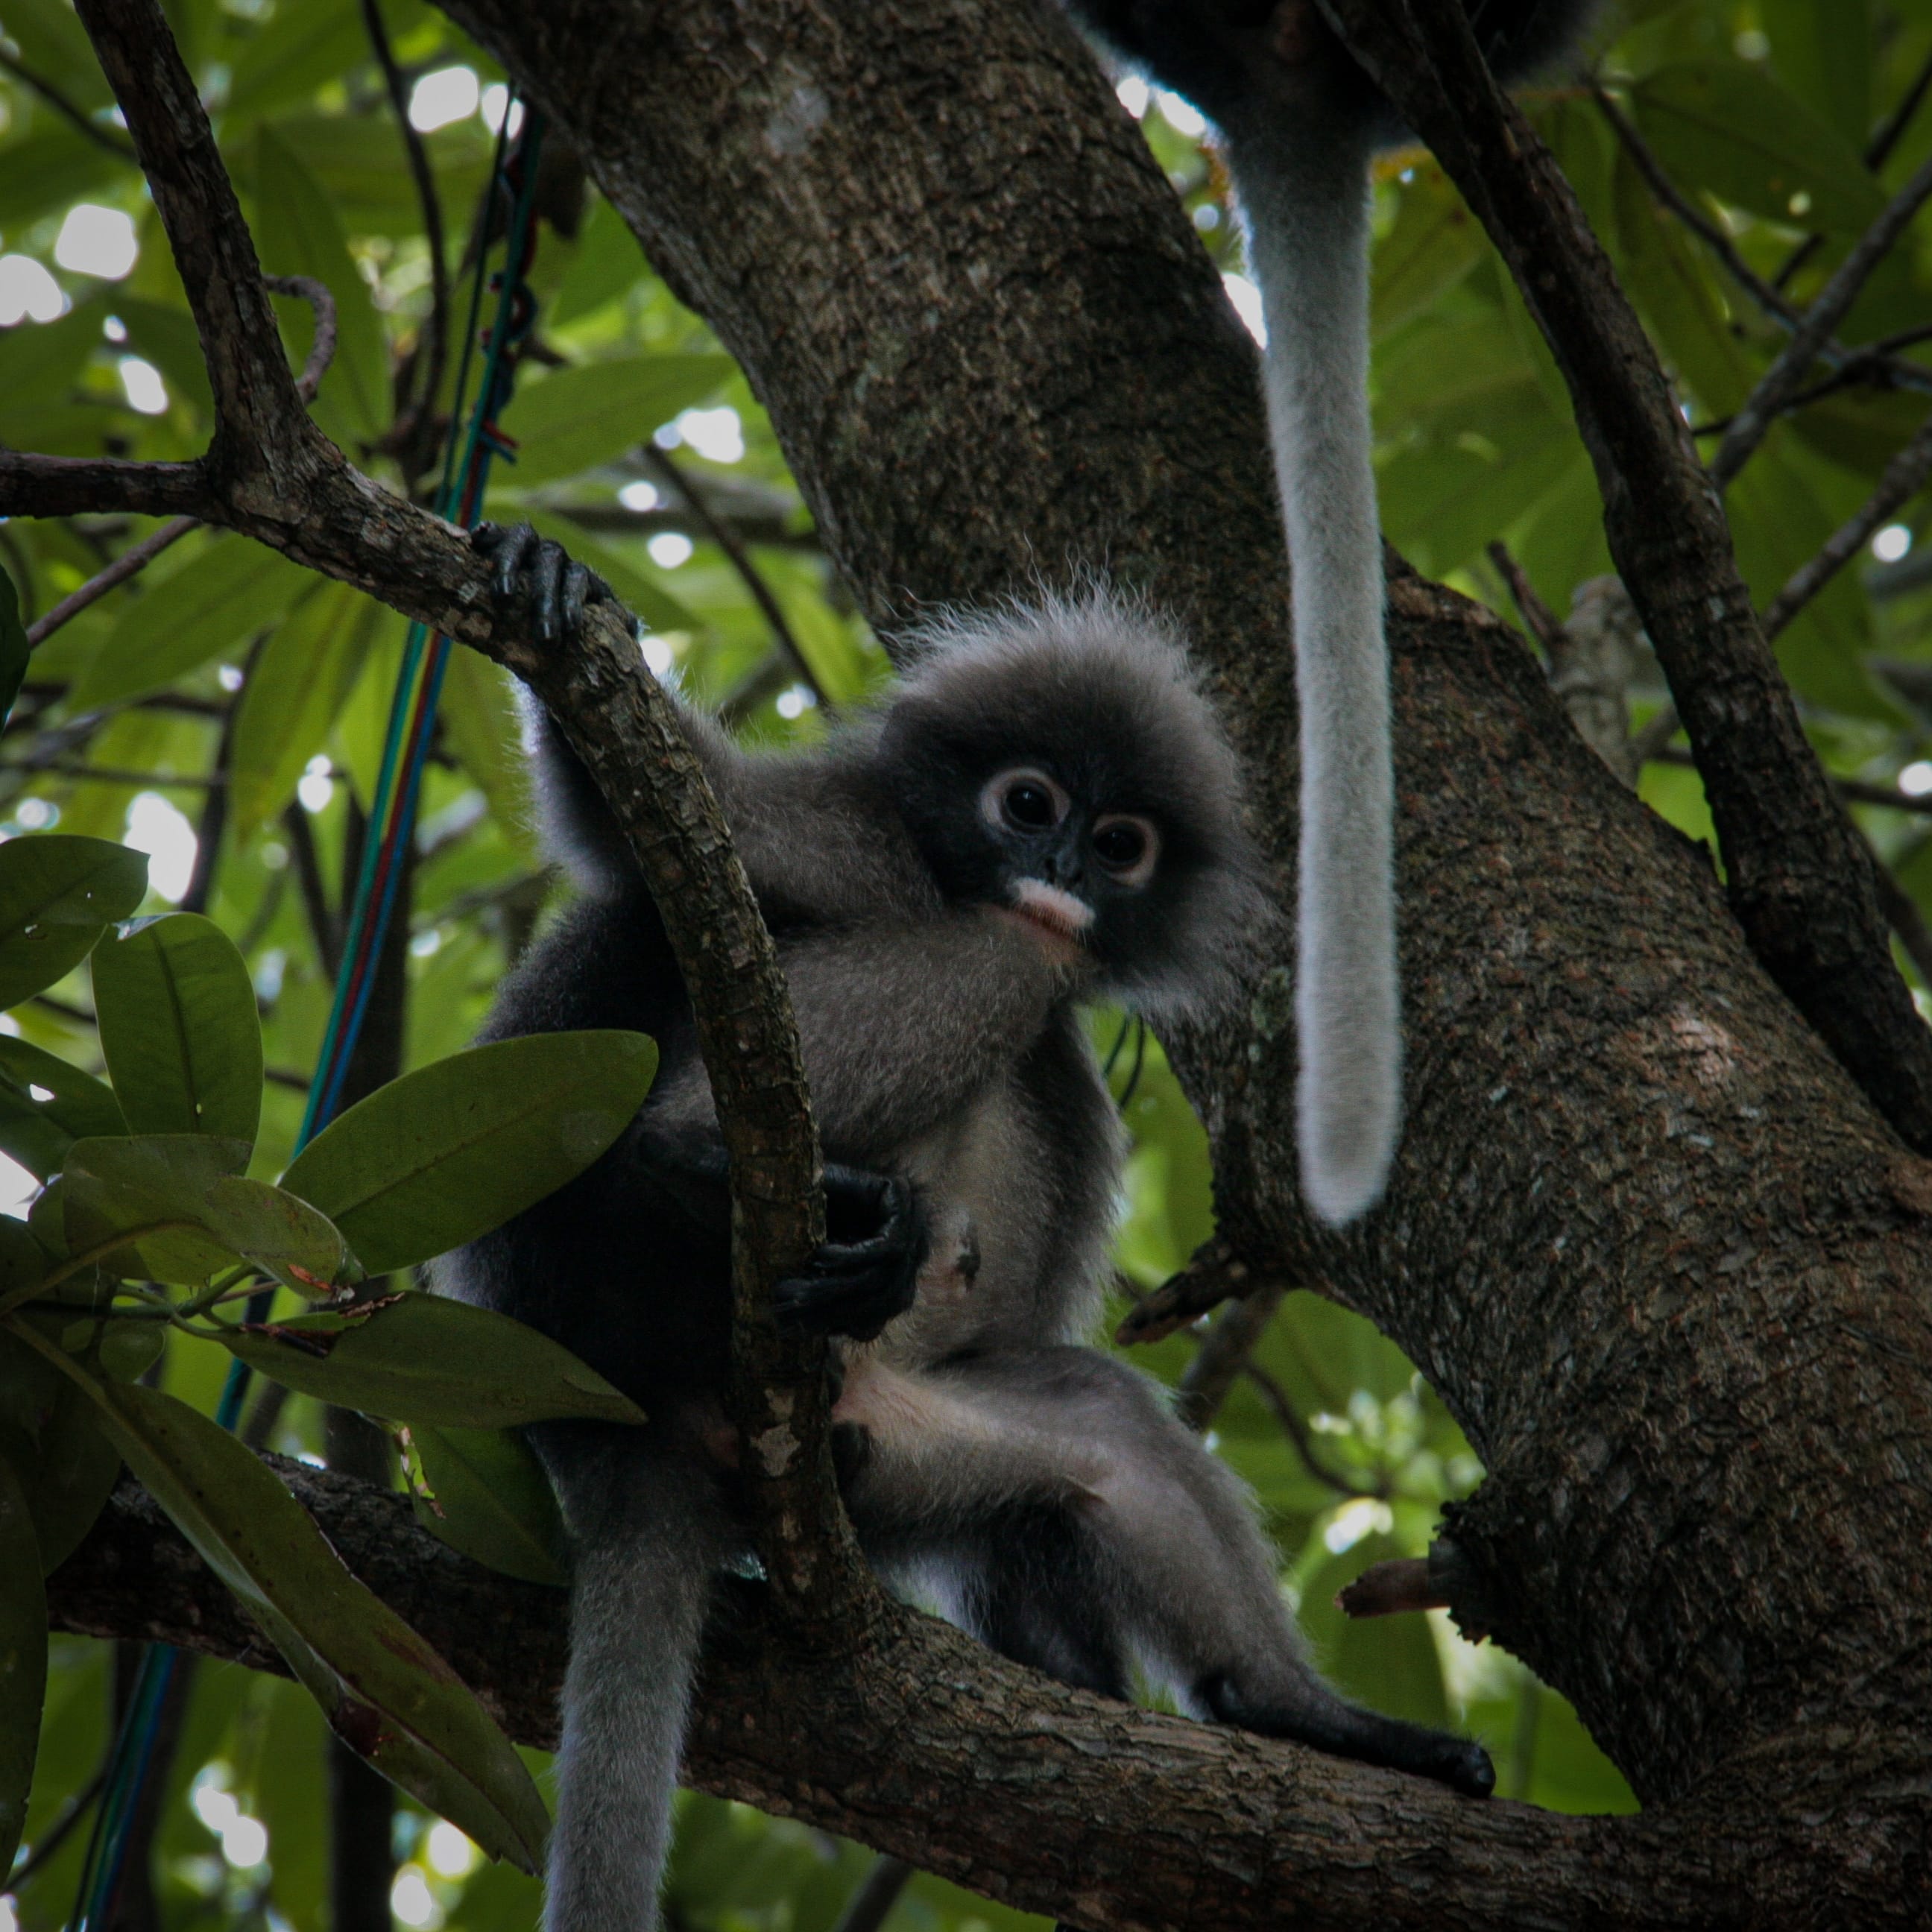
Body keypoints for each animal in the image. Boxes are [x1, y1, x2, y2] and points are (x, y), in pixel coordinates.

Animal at [442, 525, 1491, 1932]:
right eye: (1028, 806)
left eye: (1120, 842)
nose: (1060, 875)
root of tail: (608, 1429)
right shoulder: (853, 836)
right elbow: (679, 819)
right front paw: (552, 585)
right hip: (621, 1273)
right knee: (996, 958)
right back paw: (705, 1159)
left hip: (895, 1438)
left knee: (1103, 1432)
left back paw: (1293, 1711)